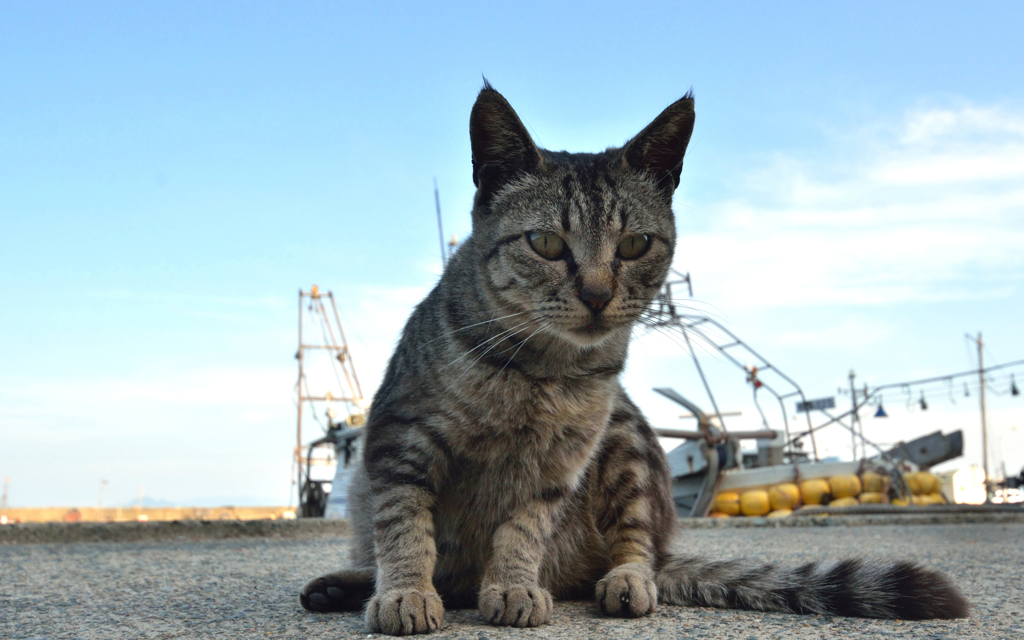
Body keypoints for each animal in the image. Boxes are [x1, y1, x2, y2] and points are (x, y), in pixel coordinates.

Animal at [299, 82, 966, 630]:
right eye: (546, 243)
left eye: (635, 244)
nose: (597, 294)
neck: (543, 373)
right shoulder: (401, 438)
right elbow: (405, 525)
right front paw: (405, 593)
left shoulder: (559, 465)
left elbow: (521, 530)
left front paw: (512, 585)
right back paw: (350, 584)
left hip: (627, 441)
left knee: (639, 544)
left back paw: (624, 581)